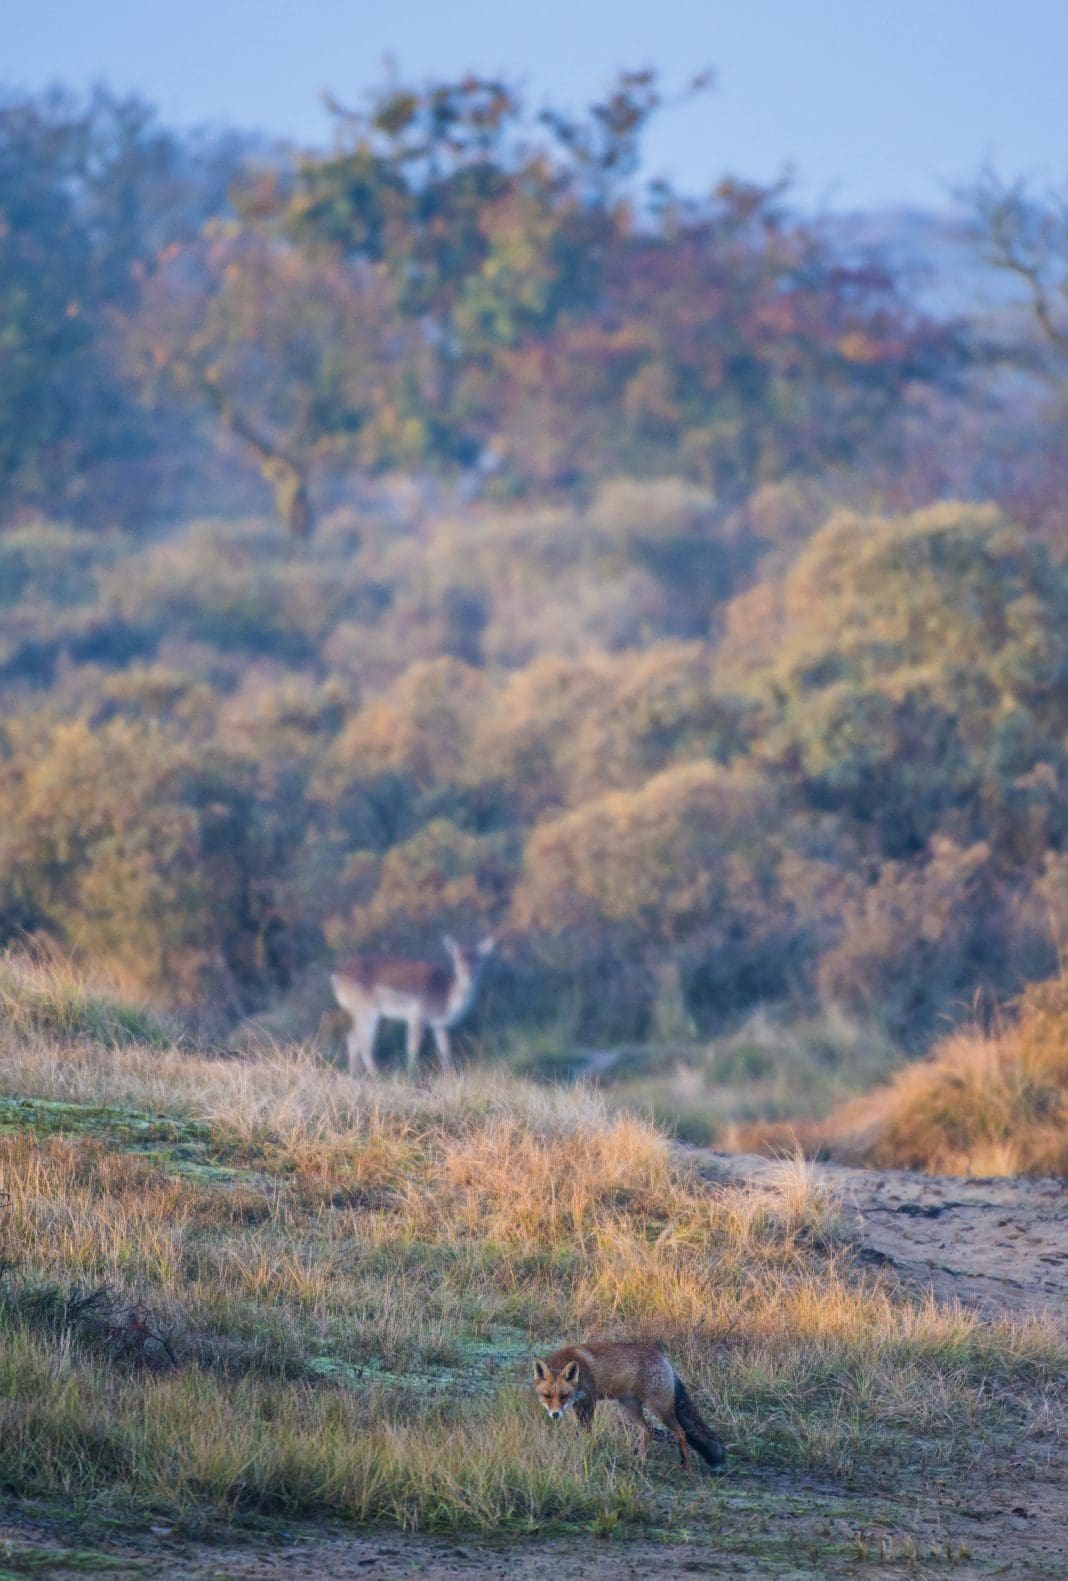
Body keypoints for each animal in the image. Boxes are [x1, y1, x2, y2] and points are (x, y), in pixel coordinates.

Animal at [533, 1341, 726, 1471]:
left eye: (564, 1396)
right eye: (547, 1396)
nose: (555, 1415)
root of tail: (665, 1360)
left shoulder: (589, 1400)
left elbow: (586, 1430)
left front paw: (585, 1448)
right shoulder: (579, 1404)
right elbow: (581, 1430)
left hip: (659, 1408)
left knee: (681, 1432)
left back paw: (685, 1465)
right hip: (630, 1409)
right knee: (647, 1430)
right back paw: (640, 1460)